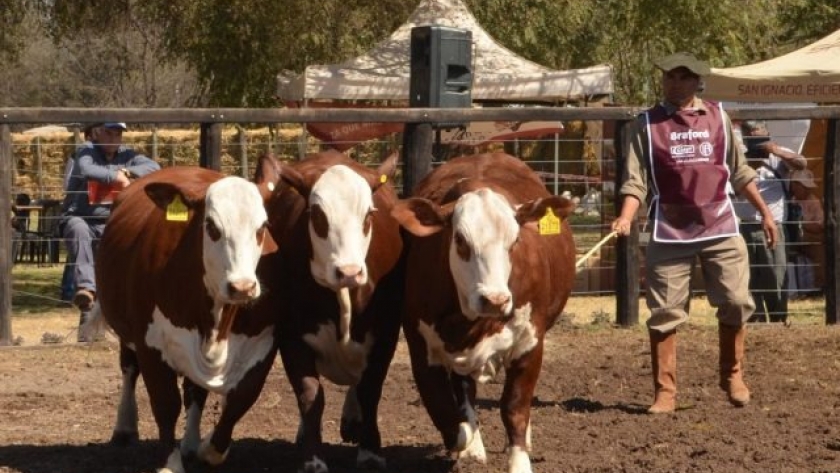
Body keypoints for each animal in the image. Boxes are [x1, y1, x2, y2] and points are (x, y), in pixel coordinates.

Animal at [87, 164, 280, 472]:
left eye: (261, 227)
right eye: (211, 227)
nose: (242, 287)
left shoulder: (264, 342)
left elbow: (241, 398)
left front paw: (208, 448)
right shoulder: (150, 345)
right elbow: (165, 403)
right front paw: (170, 462)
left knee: (194, 390)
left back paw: (190, 443)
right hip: (126, 332)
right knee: (129, 369)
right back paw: (124, 427)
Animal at [258, 150, 406, 472]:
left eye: (369, 215)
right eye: (317, 215)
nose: (349, 272)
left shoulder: (386, 333)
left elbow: (370, 390)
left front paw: (370, 451)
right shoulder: (292, 336)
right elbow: (310, 396)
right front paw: (312, 458)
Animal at [392, 152, 576, 472]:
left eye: (515, 241)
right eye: (460, 240)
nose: (495, 299)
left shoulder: (531, 341)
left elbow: (515, 406)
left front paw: (519, 461)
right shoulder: (420, 346)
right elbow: (447, 413)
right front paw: (467, 446)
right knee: (464, 394)